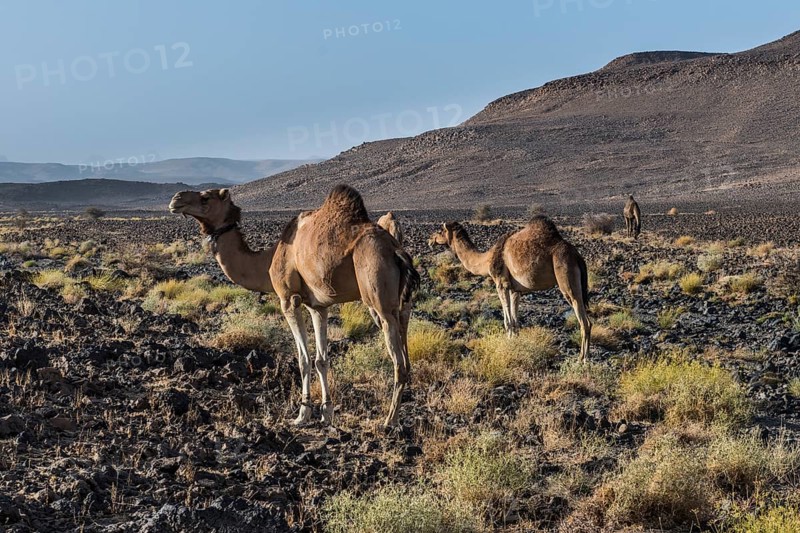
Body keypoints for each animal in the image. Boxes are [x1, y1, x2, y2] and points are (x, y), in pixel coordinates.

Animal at [270, 185, 419, 427]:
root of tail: (395, 250)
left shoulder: (288, 299)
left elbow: (303, 359)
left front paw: (302, 415)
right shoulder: (317, 306)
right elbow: (321, 359)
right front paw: (326, 412)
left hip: (378, 300)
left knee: (399, 363)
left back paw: (389, 420)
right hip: (401, 303)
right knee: (405, 332)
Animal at [428, 216, 592, 362]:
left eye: (440, 231)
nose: (430, 240)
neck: (487, 259)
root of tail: (577, 256)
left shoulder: (501, 283)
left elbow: (507, 321)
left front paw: (508, 343)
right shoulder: (515, 290)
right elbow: (515, 321)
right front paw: (516, 342)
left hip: (566, 277)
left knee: (584, 321)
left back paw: (582, 359)